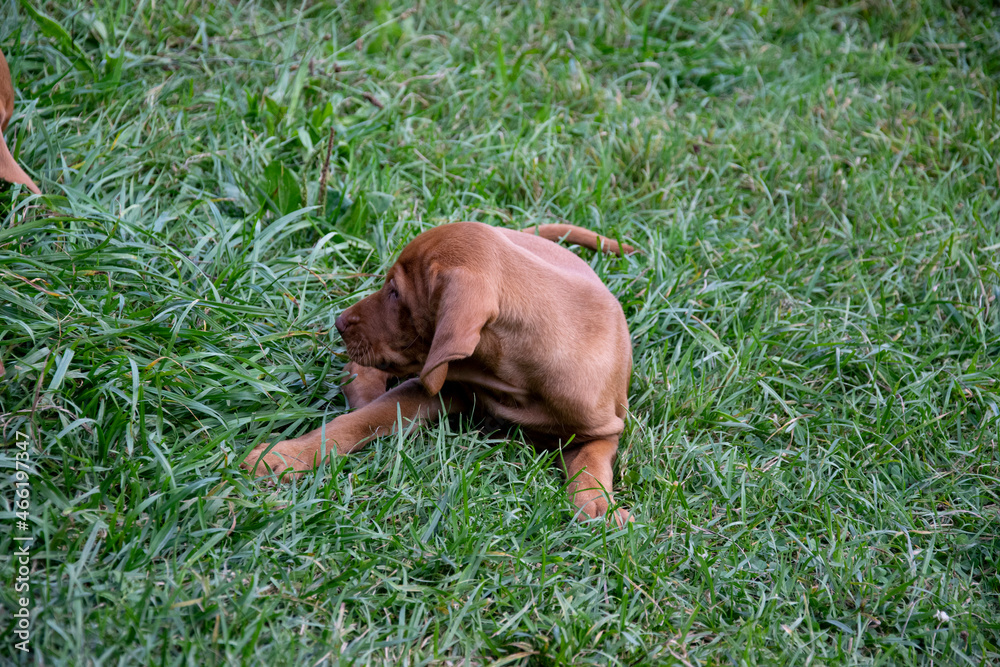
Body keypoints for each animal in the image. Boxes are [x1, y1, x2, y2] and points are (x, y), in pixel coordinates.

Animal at [249, 224, 636, 528]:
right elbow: (357, 420)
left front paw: (597, 505)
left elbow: (591, 462)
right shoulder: (438, 383)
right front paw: (283, 456)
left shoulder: (604, 428)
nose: (340, 322)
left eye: (395, 292)